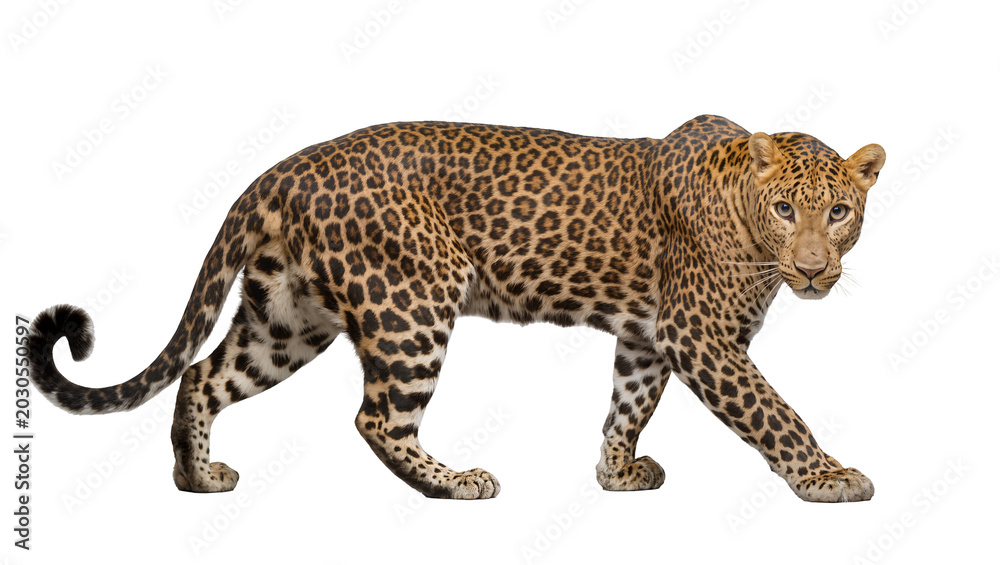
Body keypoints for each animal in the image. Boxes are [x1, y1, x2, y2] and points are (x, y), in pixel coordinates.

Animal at [28, 114, 885, 502]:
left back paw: (197, 475)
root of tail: (288, 166)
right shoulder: (702, 336)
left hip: (287, 317)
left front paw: (616, 472)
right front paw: (830, 475)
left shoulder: (650, 338)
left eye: (840, 211)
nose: (814, 269)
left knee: (204, 377)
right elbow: (775, 410)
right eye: (786, 208)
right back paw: (453, 481)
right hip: (412, 301)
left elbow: (627, 405)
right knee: (376, 417)